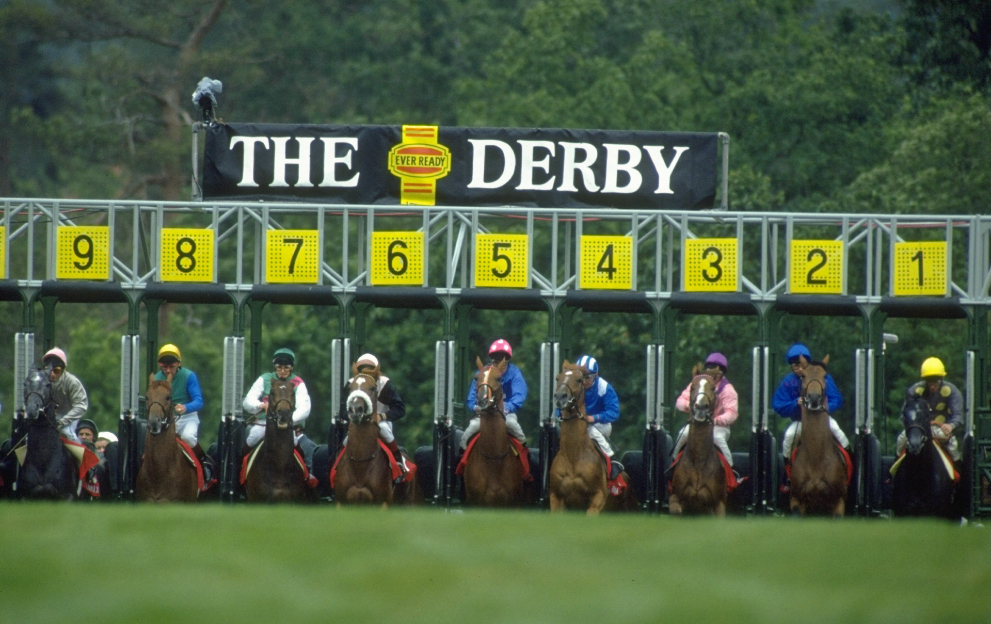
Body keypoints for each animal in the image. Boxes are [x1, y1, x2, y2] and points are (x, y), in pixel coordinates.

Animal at [548, 360, 608, 512]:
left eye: (579, 380)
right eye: (557, 378)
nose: (560, 397)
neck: (573, 457)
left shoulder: (599, 496)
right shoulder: (555, 497)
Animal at [788, 356, 848, 516]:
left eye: (825, 376)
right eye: (803, 376)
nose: (814, 398)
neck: (816, 458)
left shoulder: (838, 502)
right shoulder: (796, 501)